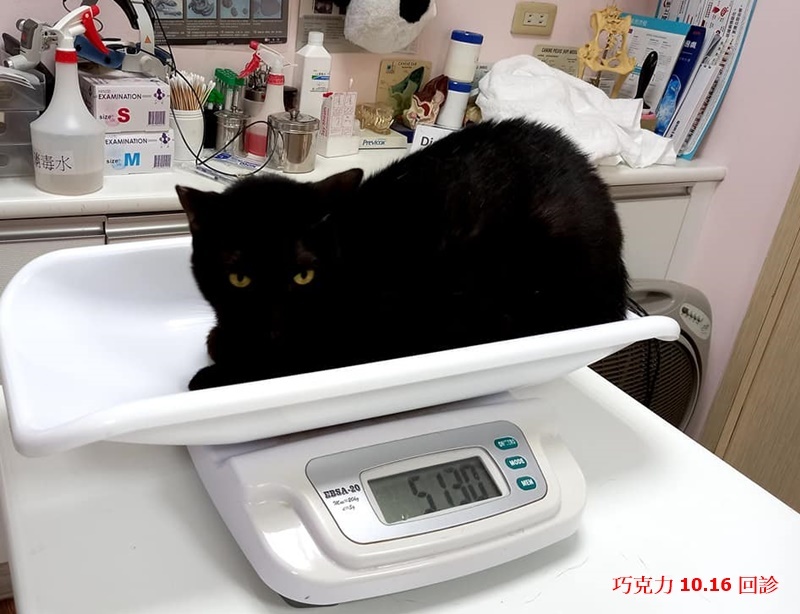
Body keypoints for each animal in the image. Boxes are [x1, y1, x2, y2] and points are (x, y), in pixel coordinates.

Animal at [176, 118, 629, 390]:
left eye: (304, 276)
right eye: (239, 278)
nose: (272, 326)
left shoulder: (352, 345)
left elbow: (277, 360)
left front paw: (215, 372)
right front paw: (226, 339)